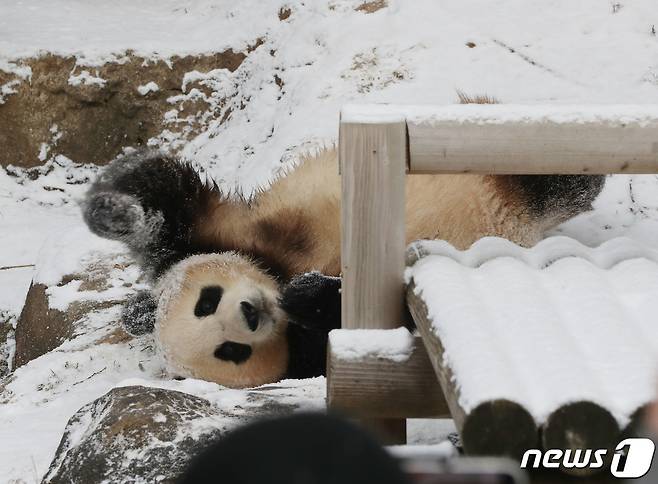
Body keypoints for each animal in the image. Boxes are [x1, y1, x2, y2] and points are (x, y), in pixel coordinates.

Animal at [84, 148, 604, 390]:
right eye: (230, 350)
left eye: (206, 301)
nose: (252, 313)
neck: (275, 272)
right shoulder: (303, 354)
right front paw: (310, 293)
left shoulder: (233, 233)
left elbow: (167, 192)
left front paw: (112, 212)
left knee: (557, 176)